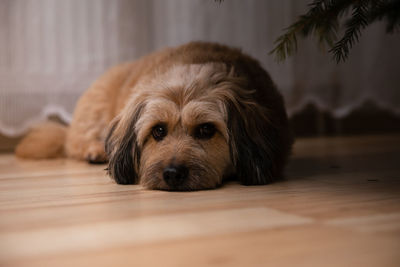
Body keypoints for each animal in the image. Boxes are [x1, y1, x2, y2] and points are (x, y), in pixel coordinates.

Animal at [15, 42, 292, 192]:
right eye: (158, 130)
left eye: (206, 130)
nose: (172, 174)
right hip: (94, 113)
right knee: (74, 143)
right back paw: (94, 151)